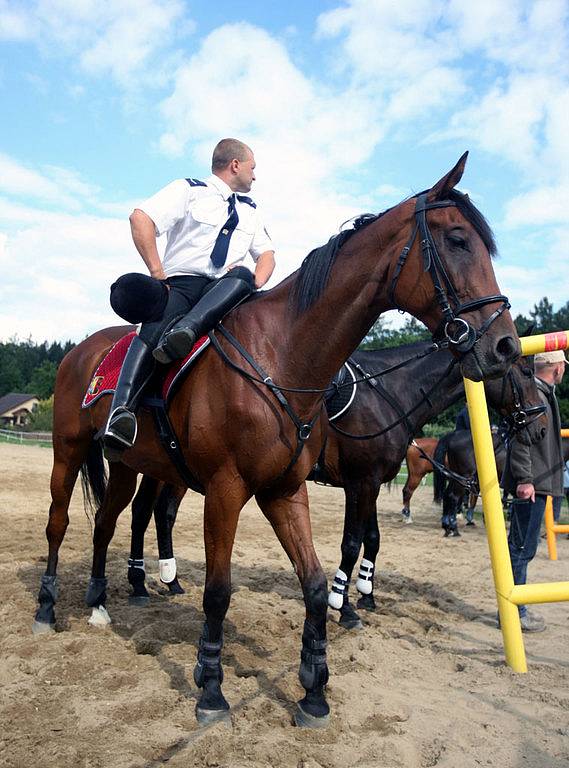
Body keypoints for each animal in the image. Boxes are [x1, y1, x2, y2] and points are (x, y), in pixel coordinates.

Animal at [32, 154, 520, 728]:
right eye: (459, 240)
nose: (505, 345)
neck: (281, 356)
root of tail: (82, 349)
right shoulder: (229, 491)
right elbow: (220, 592)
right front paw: (211, 688)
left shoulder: (287, 491)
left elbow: (316, 582)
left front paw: (315, 688)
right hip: (68, 453)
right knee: (60, 524)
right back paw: (48, 607)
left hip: (132, 465)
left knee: (108, 524)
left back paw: (99, 602)